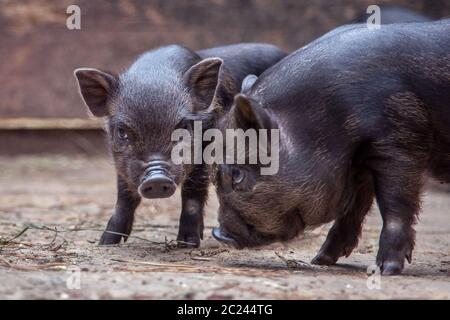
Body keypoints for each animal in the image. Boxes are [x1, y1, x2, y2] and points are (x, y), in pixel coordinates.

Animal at [73, 42, 284, 248]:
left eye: (183, 127)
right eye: (121, 132)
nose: (156, 179)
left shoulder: (204, 154)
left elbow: (192, 196)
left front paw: (187, 243)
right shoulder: (122, 164)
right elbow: (124, 198)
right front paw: (105, 243)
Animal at [212, 20, 450, 276]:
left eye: (237, 174)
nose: (218, 233)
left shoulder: (400, 140)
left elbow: (396, 206)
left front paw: (384, 270)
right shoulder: (359, 163)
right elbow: (353, 210)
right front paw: (320, 259)